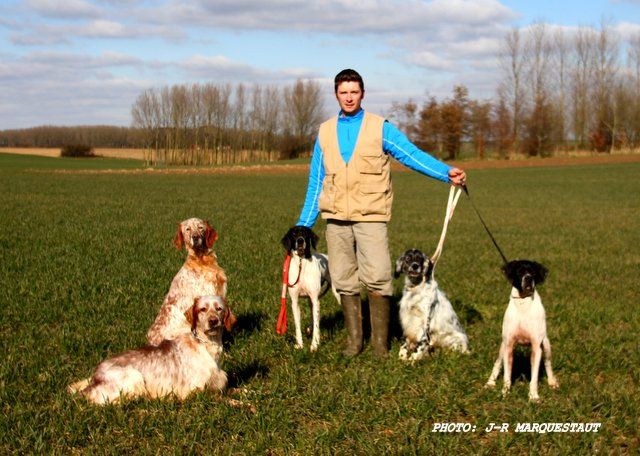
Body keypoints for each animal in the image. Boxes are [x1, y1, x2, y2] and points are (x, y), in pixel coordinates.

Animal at [67, 296, 235, 406]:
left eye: (219, 309)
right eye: (202, 309)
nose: (213, 321)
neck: (205, 346)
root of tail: (95, 375)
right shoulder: (194, 392)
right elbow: (222, 399)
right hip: (134, 377)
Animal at [488, 260, 556, 402]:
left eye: (533, 272)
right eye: (519, 272)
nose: (528, 278)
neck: (523, 303)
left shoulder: (536, 347)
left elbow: (534, 378)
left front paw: (533, 396)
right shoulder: (508, 346)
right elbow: (507, 377)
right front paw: (504, 393)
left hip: (546, 347)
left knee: (548, 364)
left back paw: (552, 382)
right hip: (502, 348)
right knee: (497, 363)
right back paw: (490, 382)